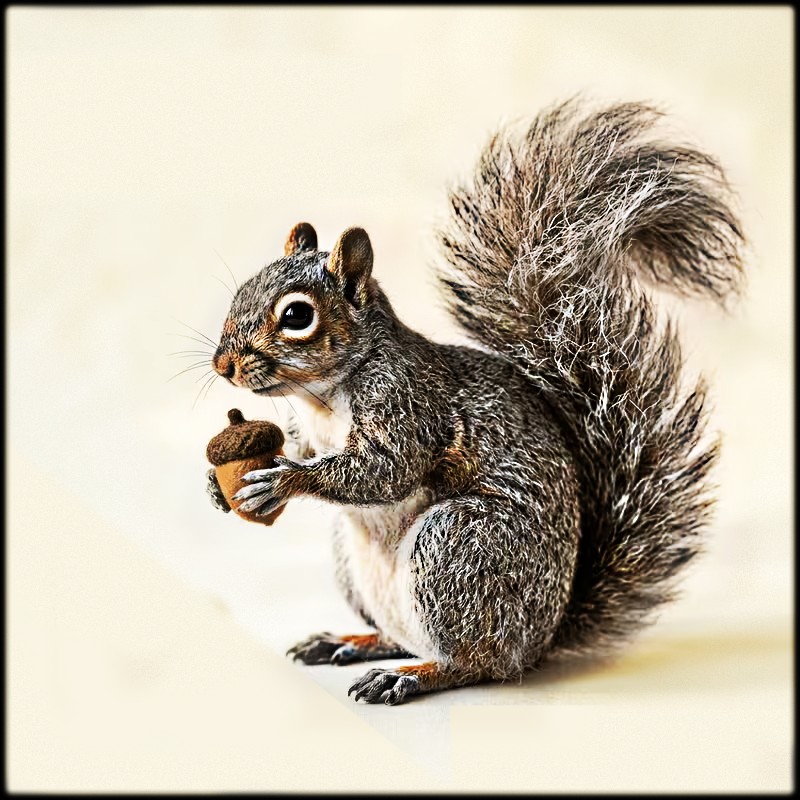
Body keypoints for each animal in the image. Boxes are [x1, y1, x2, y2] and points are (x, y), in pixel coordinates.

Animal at [205, 98, 745, 705]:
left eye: (297, 315)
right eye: (242, 288)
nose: (223, 365)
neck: (321, 396)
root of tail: (540, 641)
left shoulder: (408, 401)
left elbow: (385, 469)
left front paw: (283, 480)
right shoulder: (305, 430)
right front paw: (218, 488)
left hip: (458, 550)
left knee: (472, 663)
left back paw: (411, 676)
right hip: (360, 564)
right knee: (401, 636)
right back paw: (352, 642)